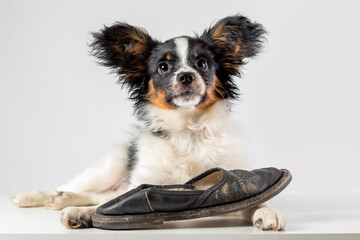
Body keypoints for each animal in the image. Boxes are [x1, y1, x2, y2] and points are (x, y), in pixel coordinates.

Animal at [13, 14, 284, 231]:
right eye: (163, 67)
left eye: (202, 64)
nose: (186, 76)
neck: (188, 130)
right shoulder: (144, 179)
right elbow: (111, 204)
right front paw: (83, 214)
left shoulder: (234, 182)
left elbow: (256, 200)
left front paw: (267, 213)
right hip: (108, 167)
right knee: (80, 188)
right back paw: (38, 197)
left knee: (97, 195)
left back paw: (64, 199)